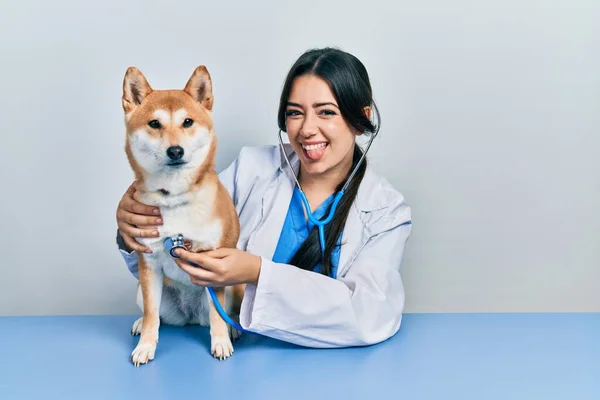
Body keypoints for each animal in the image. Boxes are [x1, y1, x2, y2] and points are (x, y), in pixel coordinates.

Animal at [120, 65, 243, 366]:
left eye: (187, 122)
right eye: (154, 124)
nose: (175, 150)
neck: (173, 198)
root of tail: (190, 316)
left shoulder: (214, 263)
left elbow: (217, 314)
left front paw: (221, 342)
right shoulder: (149, 264)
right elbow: (152, 316)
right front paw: (145, 346)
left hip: (236, 284)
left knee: (226, 313)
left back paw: (233, 330)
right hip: (142, 289)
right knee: (155, 314)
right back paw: (140, 323)